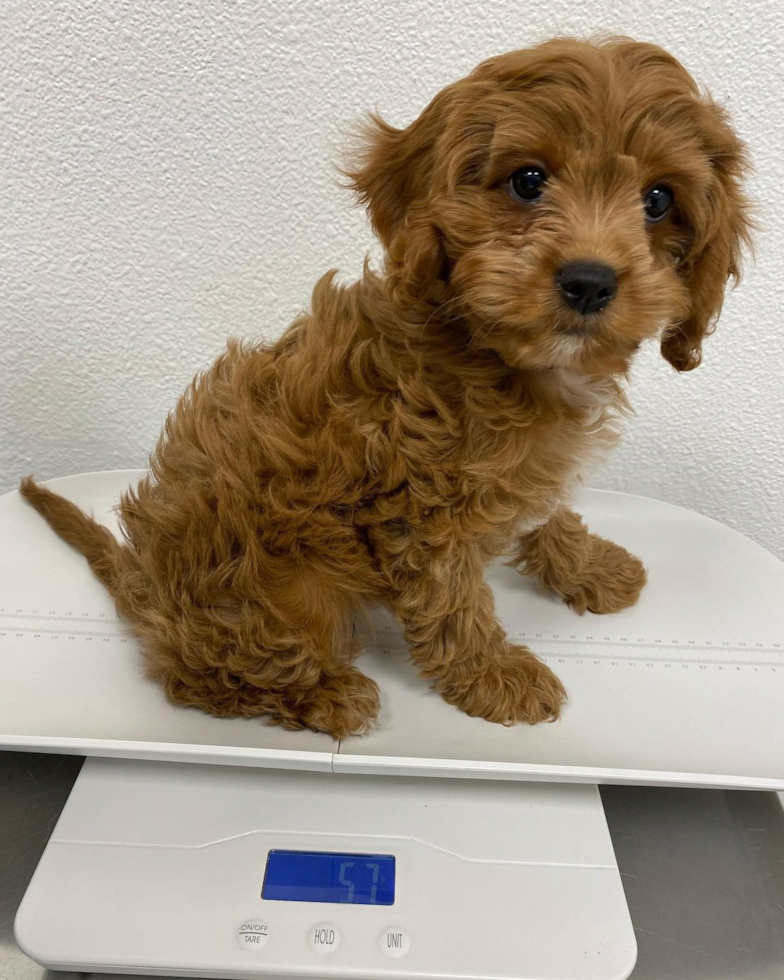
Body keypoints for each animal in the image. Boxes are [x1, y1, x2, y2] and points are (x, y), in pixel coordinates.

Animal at [21, 38, 752, 736]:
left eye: (658, 200)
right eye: (527, 180)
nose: (590, 282)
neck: (502, 355)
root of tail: (141, 588)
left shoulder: (524, 470)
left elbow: (551, 514)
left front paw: (589, 568)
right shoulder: (419, 507)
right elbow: (453, 600)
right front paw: (494, 676)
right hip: (274, 598)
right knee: (204, 676)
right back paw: (326, 695)